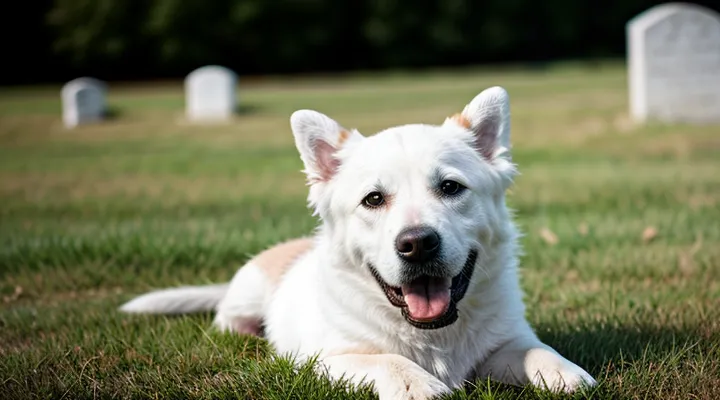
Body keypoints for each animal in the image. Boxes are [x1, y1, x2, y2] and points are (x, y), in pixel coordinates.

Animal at [121, 88, 596, 400]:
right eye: (373, 199)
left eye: (450, 187)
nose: (418, 244)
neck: (430, 334)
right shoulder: (323, 359)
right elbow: (385, 360)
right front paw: (419, 385)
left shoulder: (504, 345)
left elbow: (538, 351)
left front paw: (568, 374)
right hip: (241, 307)